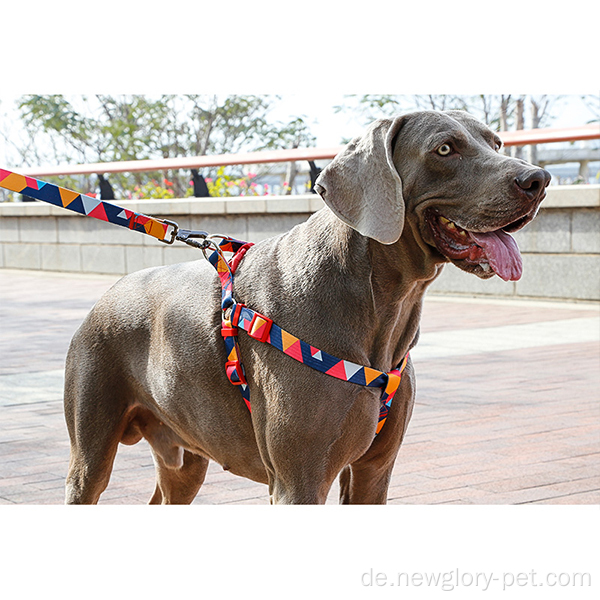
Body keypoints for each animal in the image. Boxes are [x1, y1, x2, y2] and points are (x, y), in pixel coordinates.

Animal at [63, 110, 552, 504]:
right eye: (445, 148)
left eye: (496, 143)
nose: (538, 180)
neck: (382, 303)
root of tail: (108, 294)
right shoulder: (300, 480)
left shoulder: (374, 471)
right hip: (91, 449)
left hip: (185, 454)